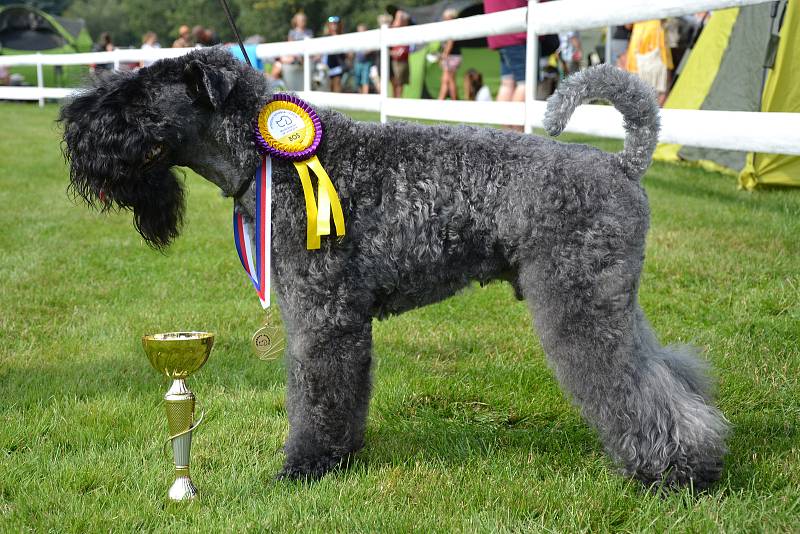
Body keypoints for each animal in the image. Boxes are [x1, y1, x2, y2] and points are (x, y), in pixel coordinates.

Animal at [59, 48, 728, 492]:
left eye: (134, 98)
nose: (73, 129)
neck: (269, 158)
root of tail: (623, 165)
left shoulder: (323, 316)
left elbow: (318, 393)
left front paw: (305, 466)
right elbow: (339, 395)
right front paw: (341, 457)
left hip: (578, 301)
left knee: (632, 387)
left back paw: (678, 470)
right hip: (611, 297)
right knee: (666, 369)